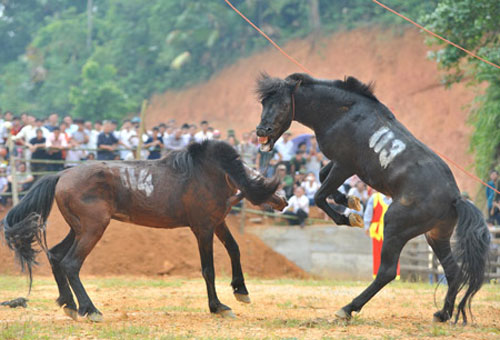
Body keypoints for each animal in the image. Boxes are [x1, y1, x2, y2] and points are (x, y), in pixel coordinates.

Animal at [0, 141, 286, 322]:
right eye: (262, 175)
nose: (283, 199)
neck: (208, 173)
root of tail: (61, 176)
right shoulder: (202, 228)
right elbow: (209, 269)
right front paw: (218, 307)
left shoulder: (217, 223)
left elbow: (235, 249)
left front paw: (241, 291)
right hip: (93, 228)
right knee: (71, 263)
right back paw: (90, 310)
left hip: (78, 228)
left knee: (55, 255)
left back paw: (70, 305)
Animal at [256, 73, 490, 322]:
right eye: (263, 103)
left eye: (282, 104)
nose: (261, 131)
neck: (342, 112)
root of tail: (455, 198)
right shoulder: (340, 165)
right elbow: (321, 177)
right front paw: (349, 200)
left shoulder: (344, 165)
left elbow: (320, 195)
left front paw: (349, 217)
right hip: (436, 235)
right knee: (453, 270)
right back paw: (443, 313)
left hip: (396, 226)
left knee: (386, 272)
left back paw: (348, 308)